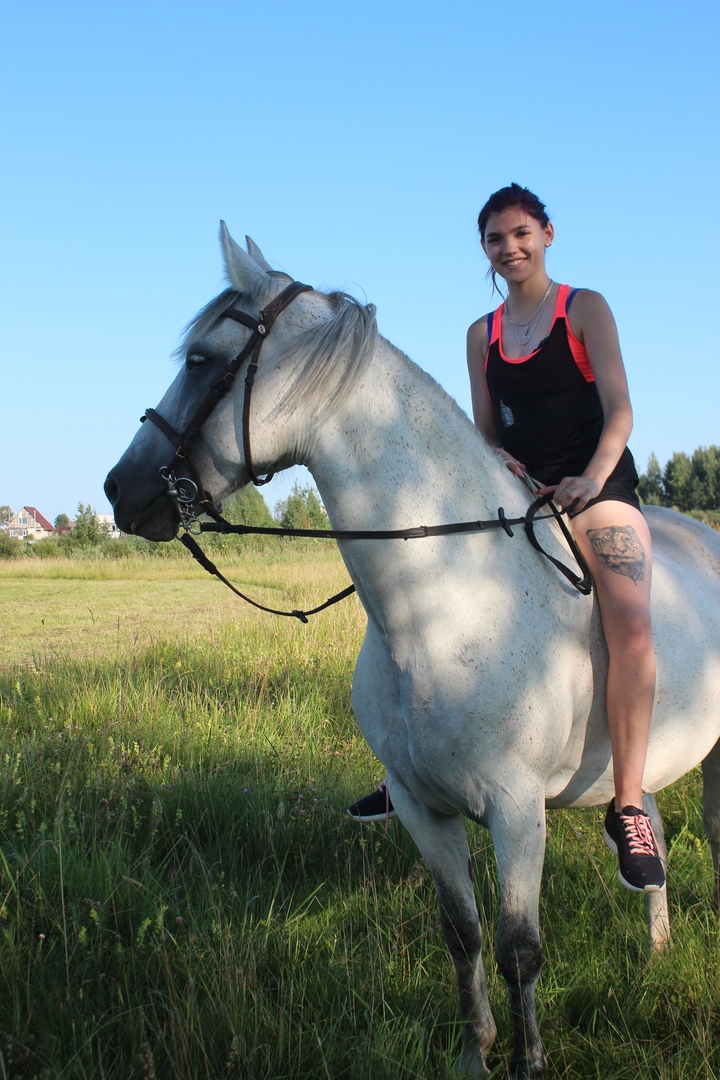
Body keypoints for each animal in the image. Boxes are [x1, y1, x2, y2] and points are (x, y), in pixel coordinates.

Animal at [104, 225, 720, 1079]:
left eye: (199, 358)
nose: (120, 490)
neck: (448, 599)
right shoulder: (424, 809)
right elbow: (463, 938)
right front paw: (473, 1055)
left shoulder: (517, 813)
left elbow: (519, 950)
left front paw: (528, 1063)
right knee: (651, 829)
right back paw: (657, 946)